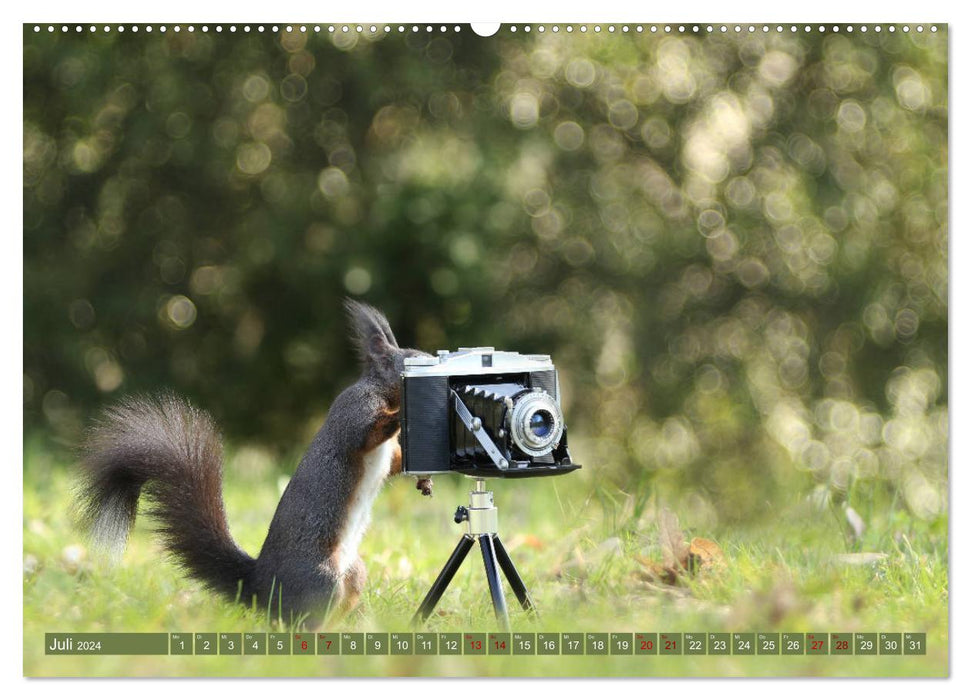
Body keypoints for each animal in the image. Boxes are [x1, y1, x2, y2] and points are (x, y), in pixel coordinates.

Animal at [78, 300, 434, 624]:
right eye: (414, 360)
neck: (380, 391)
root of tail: (261, 589)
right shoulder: (355, 411)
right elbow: (366, 434)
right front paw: (399, 415)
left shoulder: (387, 452)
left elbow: (394, 463)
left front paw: (424, 478)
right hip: (322, 581)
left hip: (353, 573)